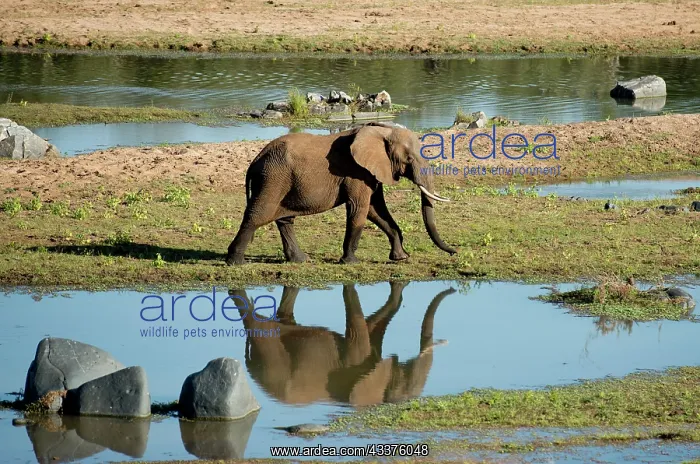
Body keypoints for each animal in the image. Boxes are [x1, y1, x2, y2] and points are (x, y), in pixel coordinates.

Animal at [225, 122, 457, 265]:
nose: (455, 252)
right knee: (257, 215)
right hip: (273, 178)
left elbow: (376, 210)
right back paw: (236, 262)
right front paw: (351, 262)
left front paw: (400, 258)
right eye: (408, 159)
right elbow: (359, 209)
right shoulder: (356, 172)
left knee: (284, 220)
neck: (381, 130)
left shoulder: (370, 172)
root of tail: (255, 160)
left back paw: (301, 260)